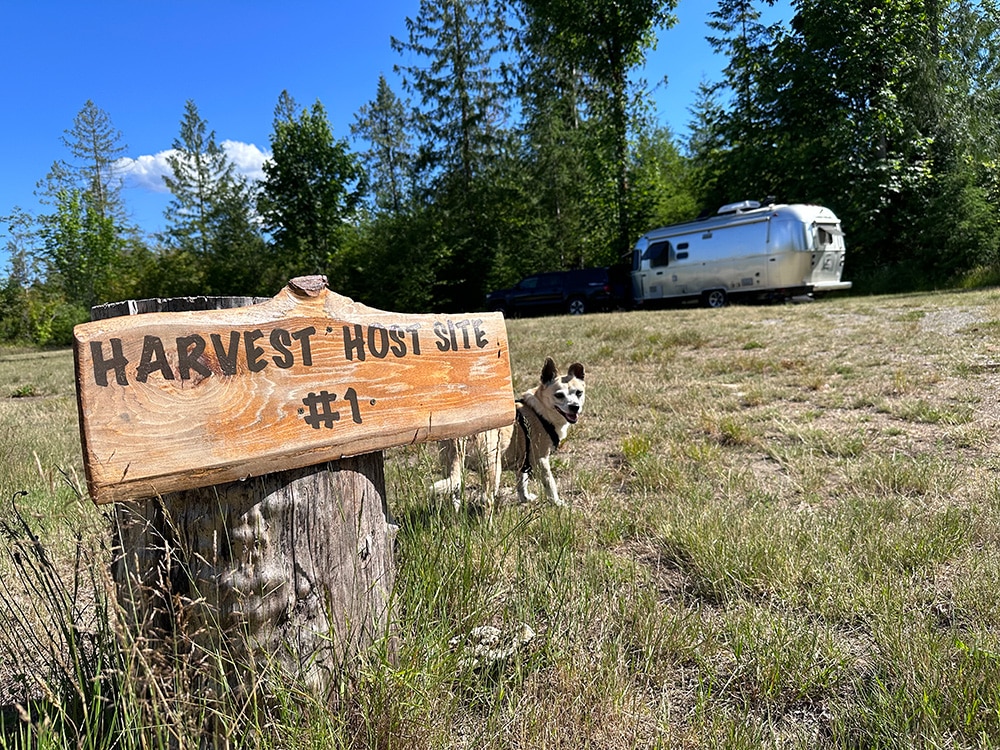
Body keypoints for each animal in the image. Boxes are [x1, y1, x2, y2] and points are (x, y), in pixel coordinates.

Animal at [432, 358, 584, 512]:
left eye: (579, 393)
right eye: (559, 395)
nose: (575, 406)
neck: (541, 411)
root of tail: (460, 436)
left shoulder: (523, 462)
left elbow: (522, 482)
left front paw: (525, 499)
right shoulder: (540, 460)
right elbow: (550, 483)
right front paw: (558, 503)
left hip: (451, 467)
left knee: (454, 492)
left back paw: (455, 514)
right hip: (492, 467)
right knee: (486, 499)